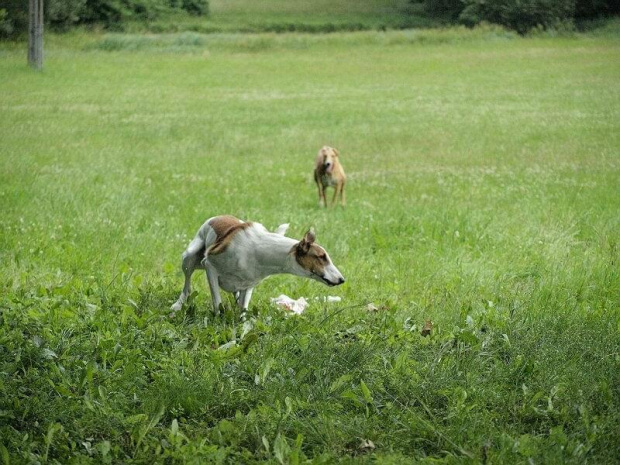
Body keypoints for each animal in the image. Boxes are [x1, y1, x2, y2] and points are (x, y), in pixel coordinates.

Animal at [171, 216, 344, 314]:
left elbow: (243, 310)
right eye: (322, 257)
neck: (261, 252)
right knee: (187, 284)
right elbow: (217, 303)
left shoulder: (248, 284)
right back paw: (178, 304)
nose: (342, 279)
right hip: (189, 258)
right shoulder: (210, 266)